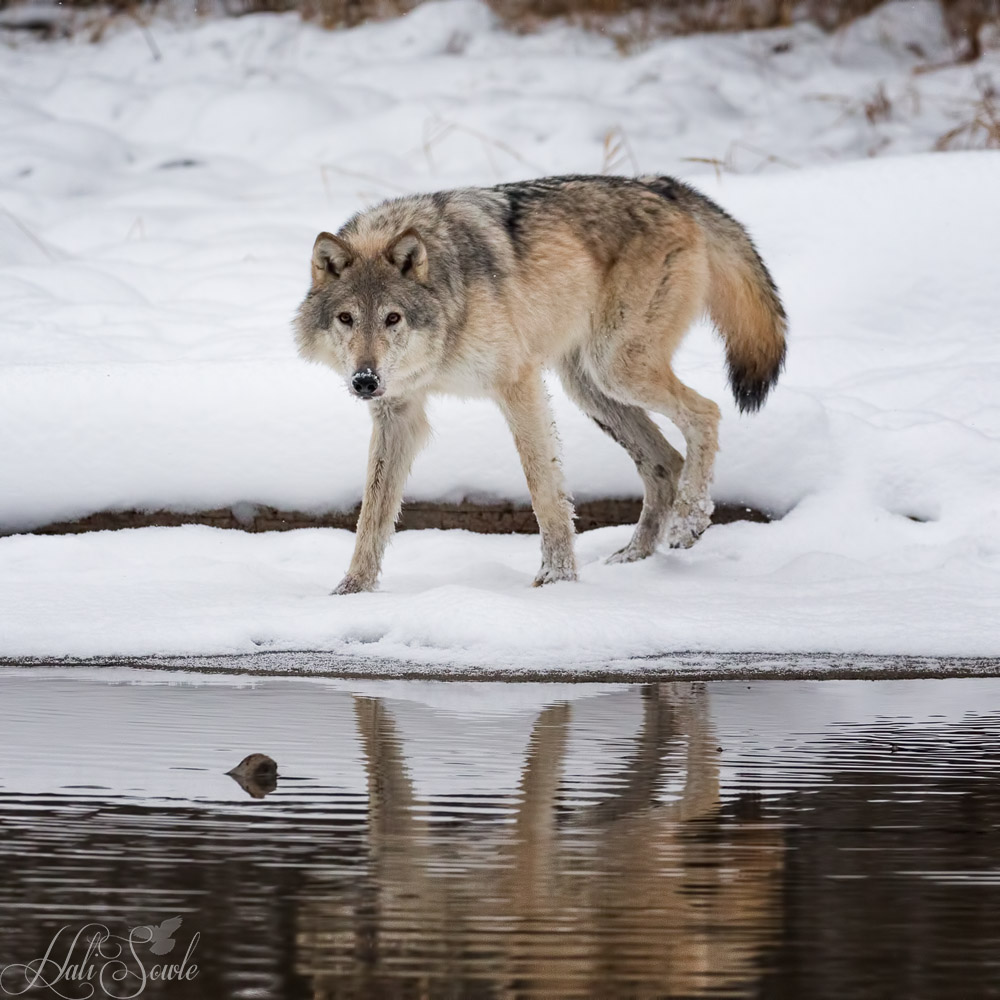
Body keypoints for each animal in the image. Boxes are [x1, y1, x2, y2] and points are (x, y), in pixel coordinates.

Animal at [294, 174, 786, 594]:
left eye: (392, 318)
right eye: (346, 318)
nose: (364, 380)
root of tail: (667, 187)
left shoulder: (519, 383)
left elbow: (544, 489)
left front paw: (557, 579)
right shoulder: (397, 414)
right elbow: (372, 514)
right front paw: (352, 589)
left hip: (617, 370)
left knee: (706, 413)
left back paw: (689, 523)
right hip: (591, 387)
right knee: (665, 461)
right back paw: (634, 557)